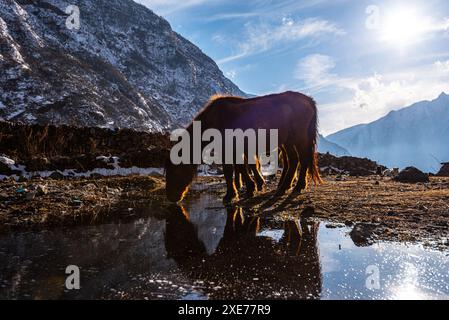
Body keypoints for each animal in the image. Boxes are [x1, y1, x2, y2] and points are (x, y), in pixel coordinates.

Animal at [166, 91, 320, 204]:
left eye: (176, 171)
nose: (171, 197)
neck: (216, 119)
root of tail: (308, 100)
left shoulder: (230, 149)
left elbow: (232, 170)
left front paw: (234, 194)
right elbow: (241, 167)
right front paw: (252, 187)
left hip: (298, 138)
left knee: (302, 159)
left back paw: (297, 186)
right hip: (288, 141)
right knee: (293, 161)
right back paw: (284, 187)